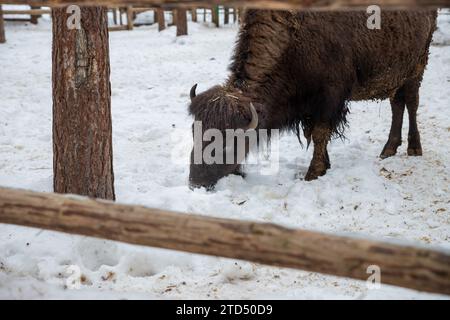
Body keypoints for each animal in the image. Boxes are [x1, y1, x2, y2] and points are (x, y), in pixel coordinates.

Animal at [188, 10, 438, 189]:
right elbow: (314, 134)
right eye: (194, 131)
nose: (195, 183)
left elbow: (319, 134)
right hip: (397, 78)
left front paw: (313, 173)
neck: (293, 38)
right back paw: (388, 149)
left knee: (411, 103)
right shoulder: (309, 107)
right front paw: (324, 166)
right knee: (397, 105)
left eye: (230, 140)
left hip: (416, 68)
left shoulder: (329, 99)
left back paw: (414, 148)